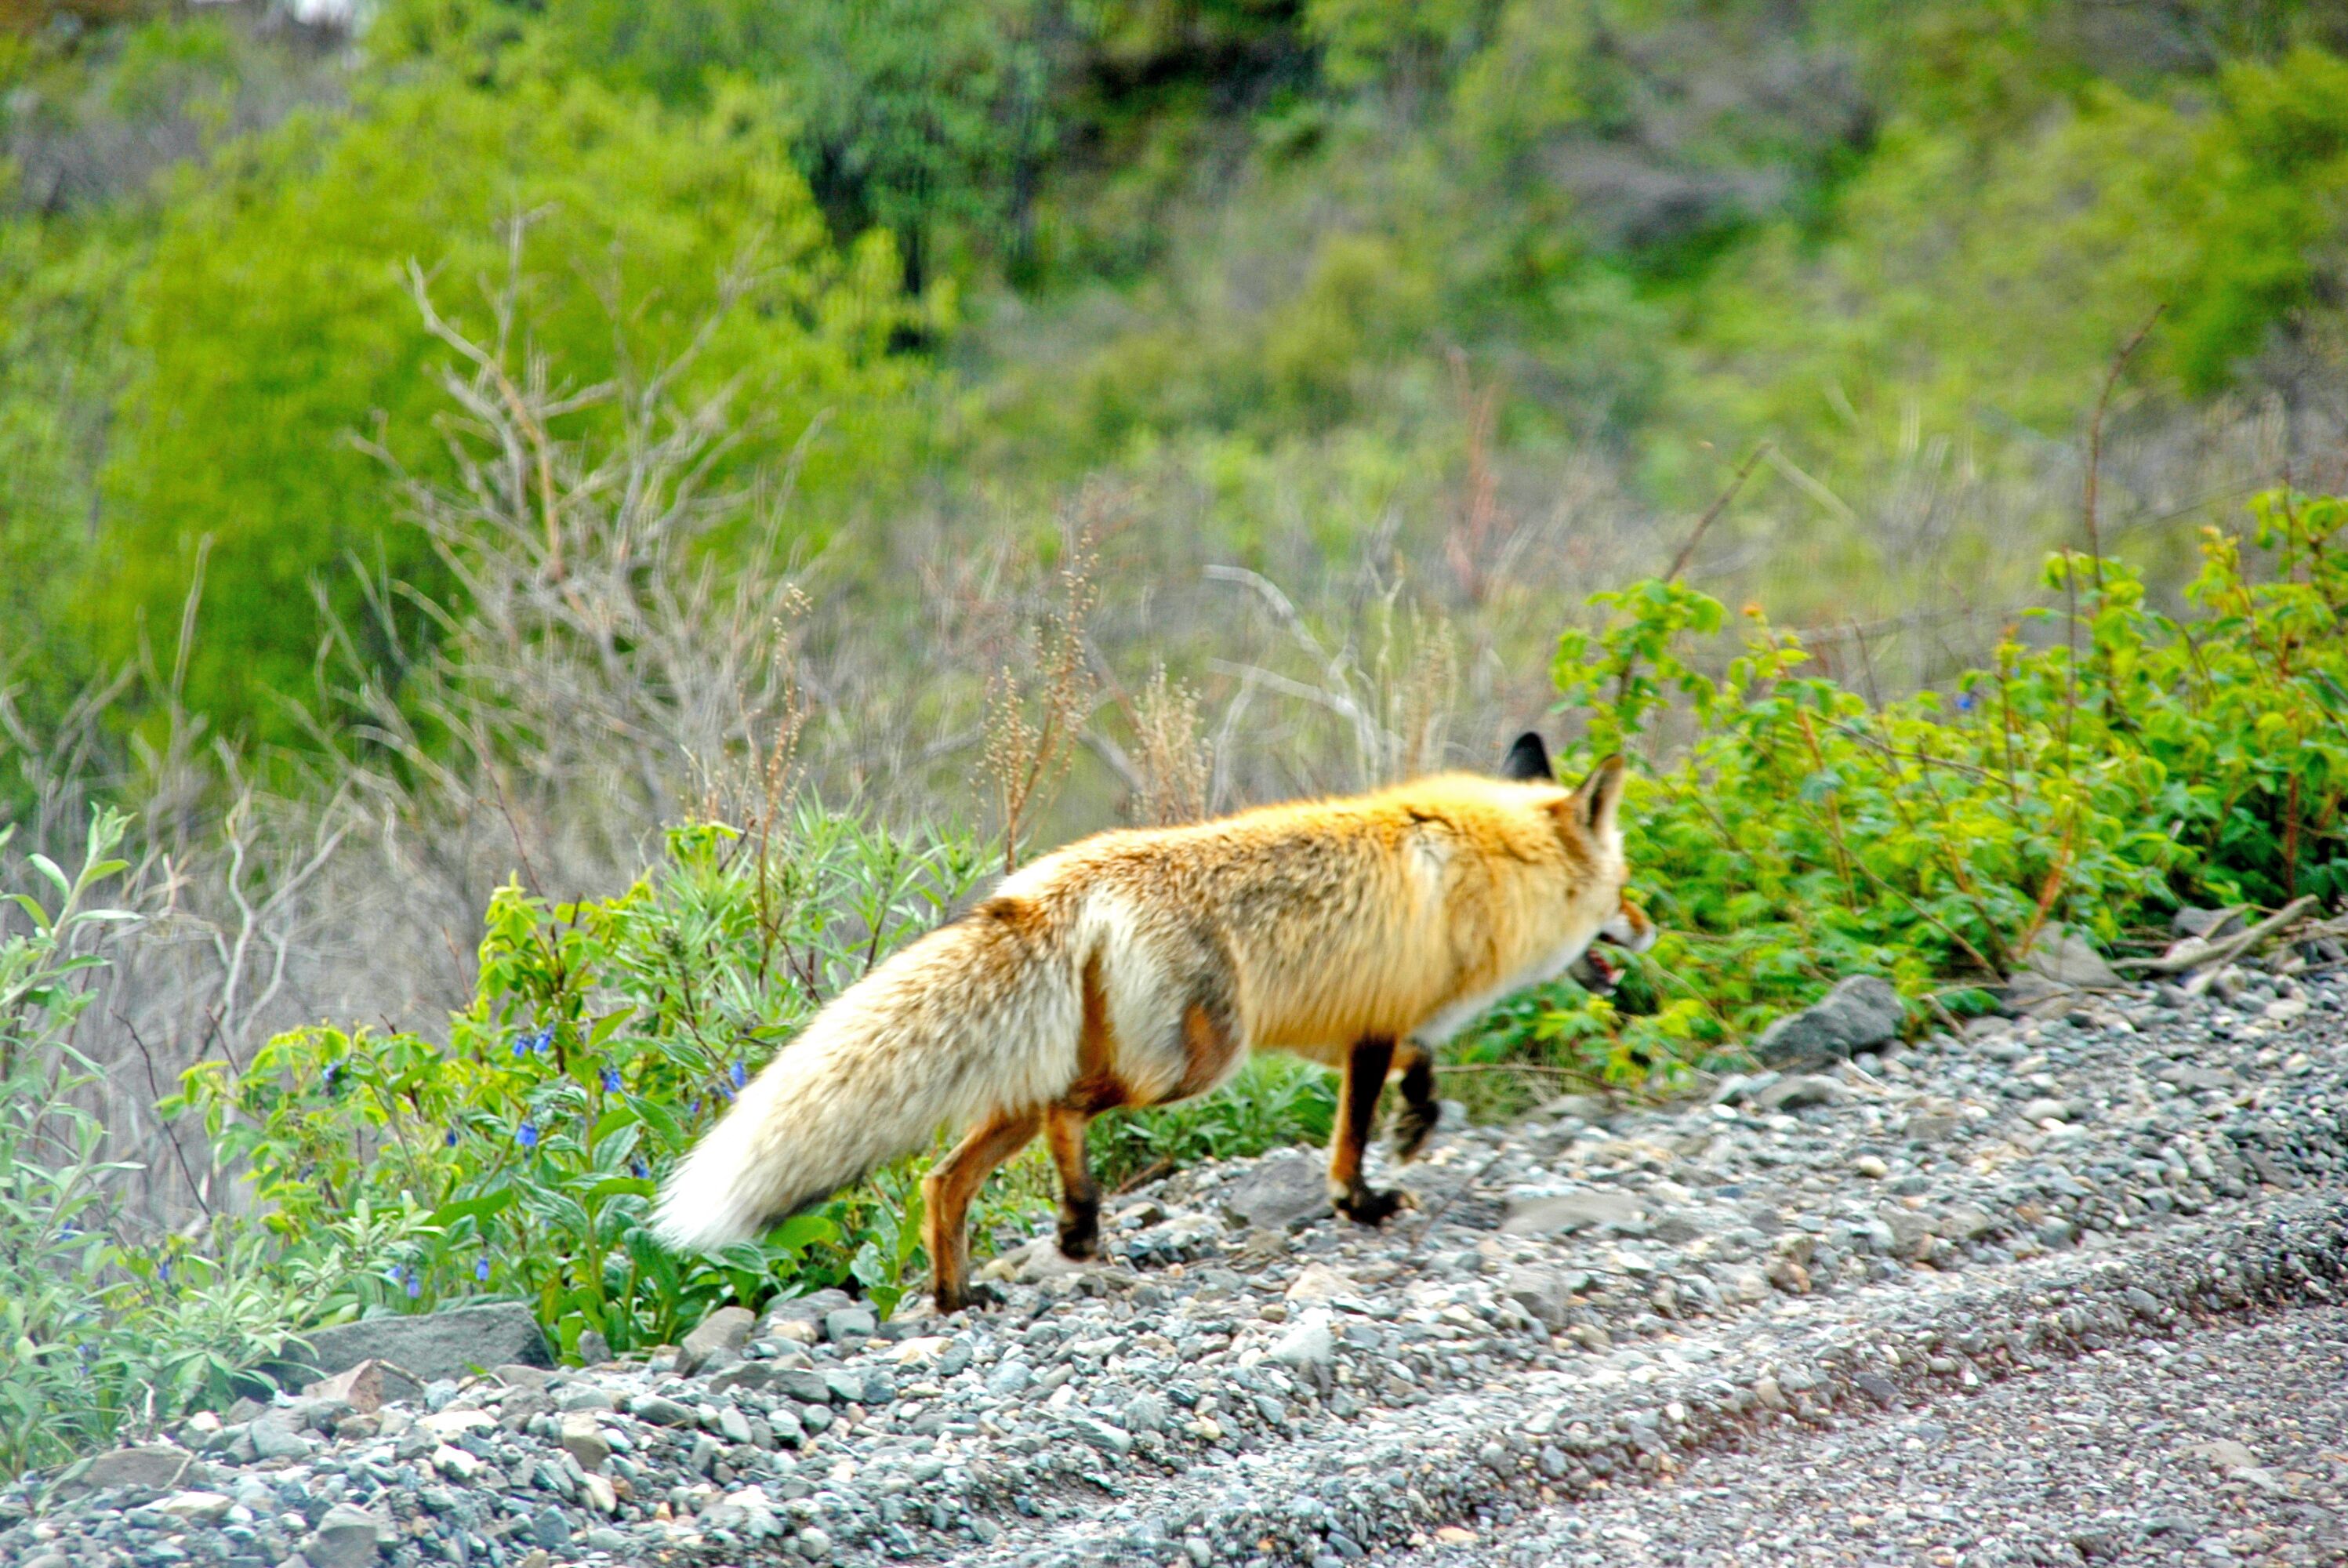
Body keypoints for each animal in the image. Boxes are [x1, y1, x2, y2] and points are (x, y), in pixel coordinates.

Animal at [652, 737, 1662, 1314]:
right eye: (1623, 886)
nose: (1649, 926)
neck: (1487, 862)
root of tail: (1056, 878)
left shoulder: (1354, 1023)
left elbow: (1416, 1069)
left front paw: (1418, 1123)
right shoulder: (1372, 1018)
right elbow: (1352, 1133)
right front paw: (1361, 1199)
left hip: (1033, 1085)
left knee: (945, 1178)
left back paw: (959, 1293)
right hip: (1193, 1062)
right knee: (1068, 1114)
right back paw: (1076, 1226)